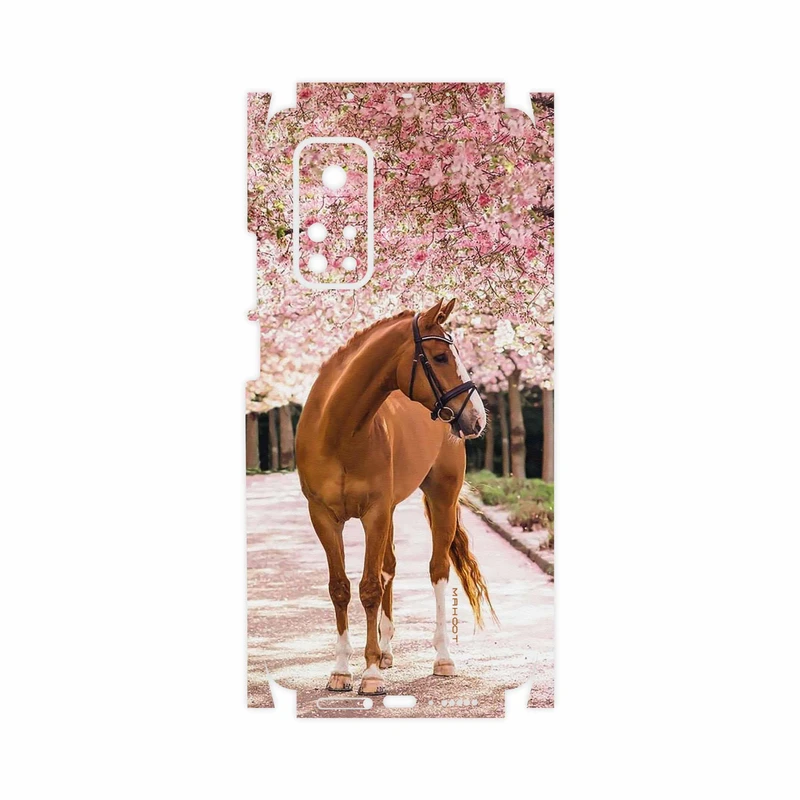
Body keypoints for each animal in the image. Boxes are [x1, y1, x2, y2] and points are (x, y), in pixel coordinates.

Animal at [295, 298, 495, 695]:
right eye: (440, 357)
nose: (477, 418)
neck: (338, 431)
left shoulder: (374, 513)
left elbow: (370, 588)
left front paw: (370, 674)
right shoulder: (324, 517)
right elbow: (340, 588)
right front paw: (341, 670)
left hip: (441, 498)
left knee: (437, 570)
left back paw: (442, 658)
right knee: (389, 567)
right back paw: (386, 651)